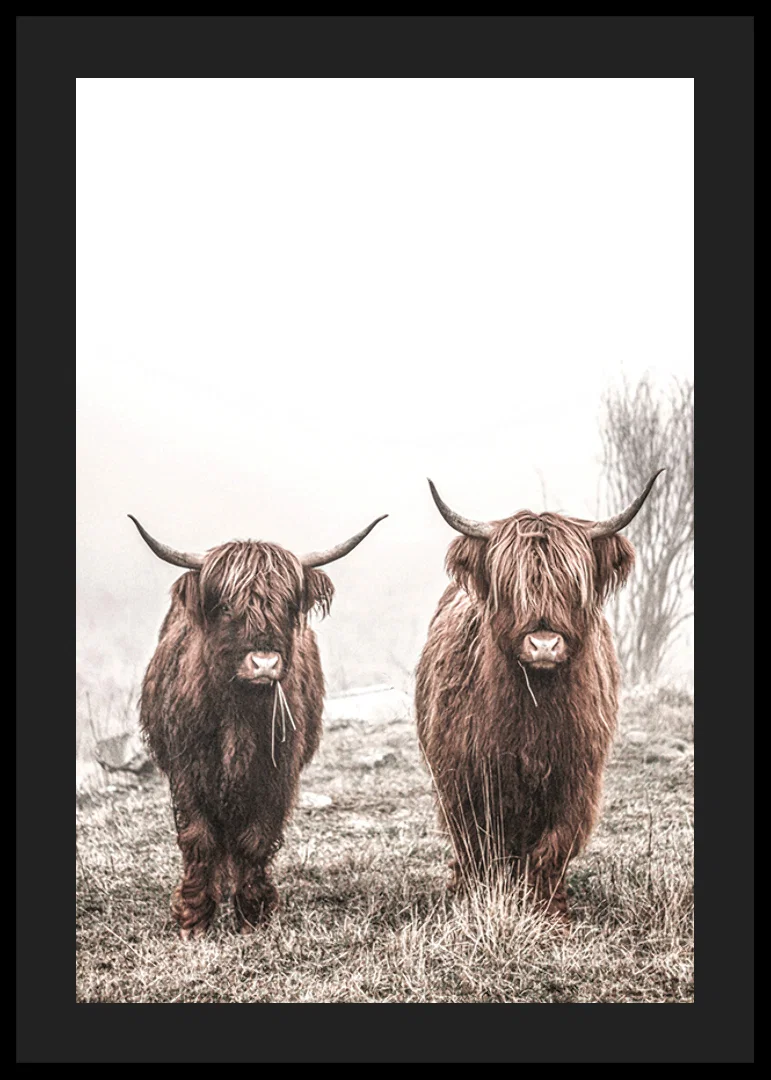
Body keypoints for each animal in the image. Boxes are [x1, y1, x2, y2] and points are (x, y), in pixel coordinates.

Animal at [130, 511, 386, 939]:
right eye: (226, 607)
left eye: (286, 605)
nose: (264, 663)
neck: (239, 712)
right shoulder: (188, 773)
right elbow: (199, 838)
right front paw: (194, 917)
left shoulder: (275, 774)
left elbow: (255, 838)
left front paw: (254, 913)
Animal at [415, 473, 663, 923]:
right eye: (511, 586)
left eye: (572, 585)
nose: (544, 644)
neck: (534, 709)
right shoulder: (465, 779)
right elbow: (479, 846)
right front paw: (476, 902)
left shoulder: (576, 778)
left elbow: (553, 849)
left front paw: (551, 914)